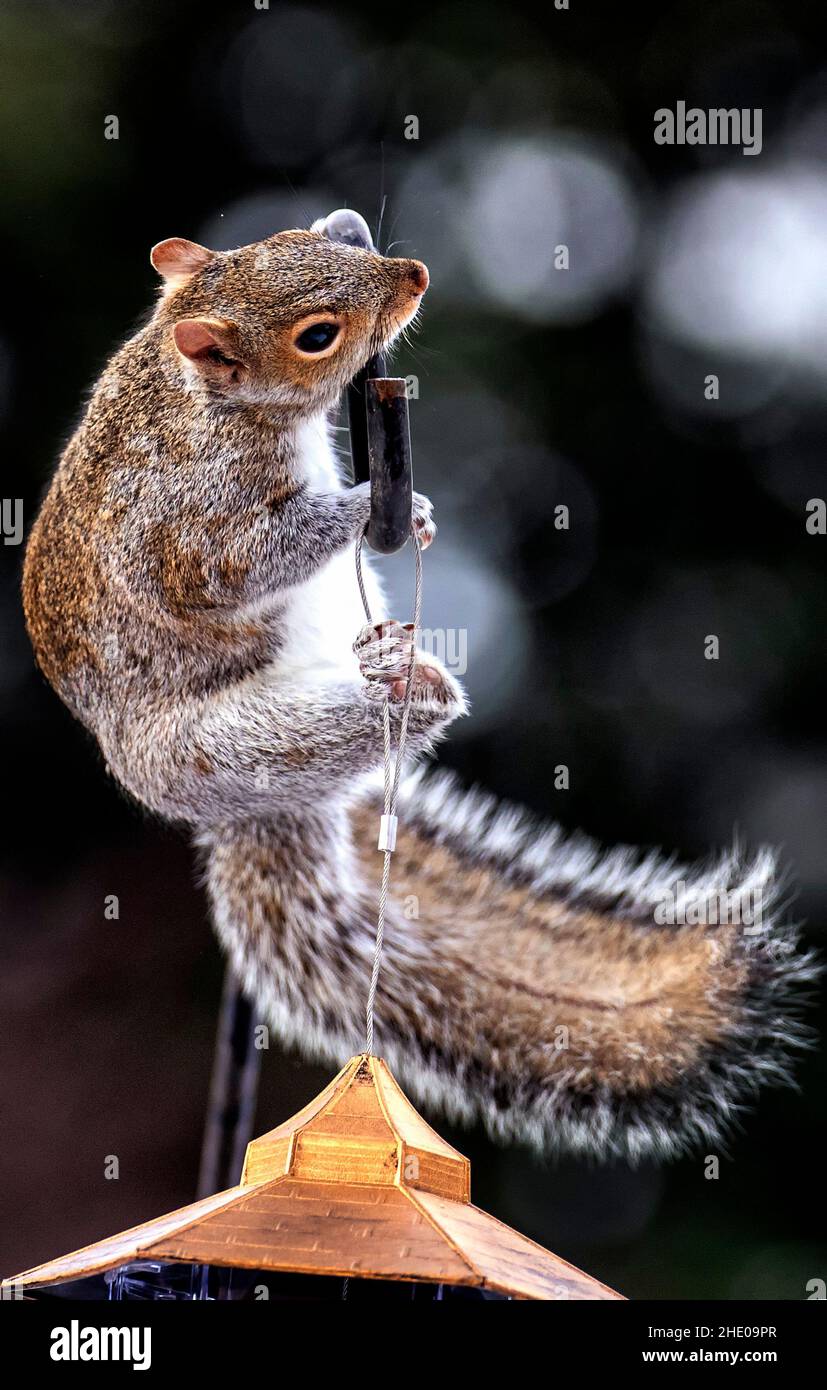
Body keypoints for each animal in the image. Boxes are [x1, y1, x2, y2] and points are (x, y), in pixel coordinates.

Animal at [22, 213, 815, 1162]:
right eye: (316, 336)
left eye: (292, 234)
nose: (412, 275)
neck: (198, 393)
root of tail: (244, 816)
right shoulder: (191, 521)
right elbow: (234, 567)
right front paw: (357, 511)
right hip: (223, 752)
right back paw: (411, 690)